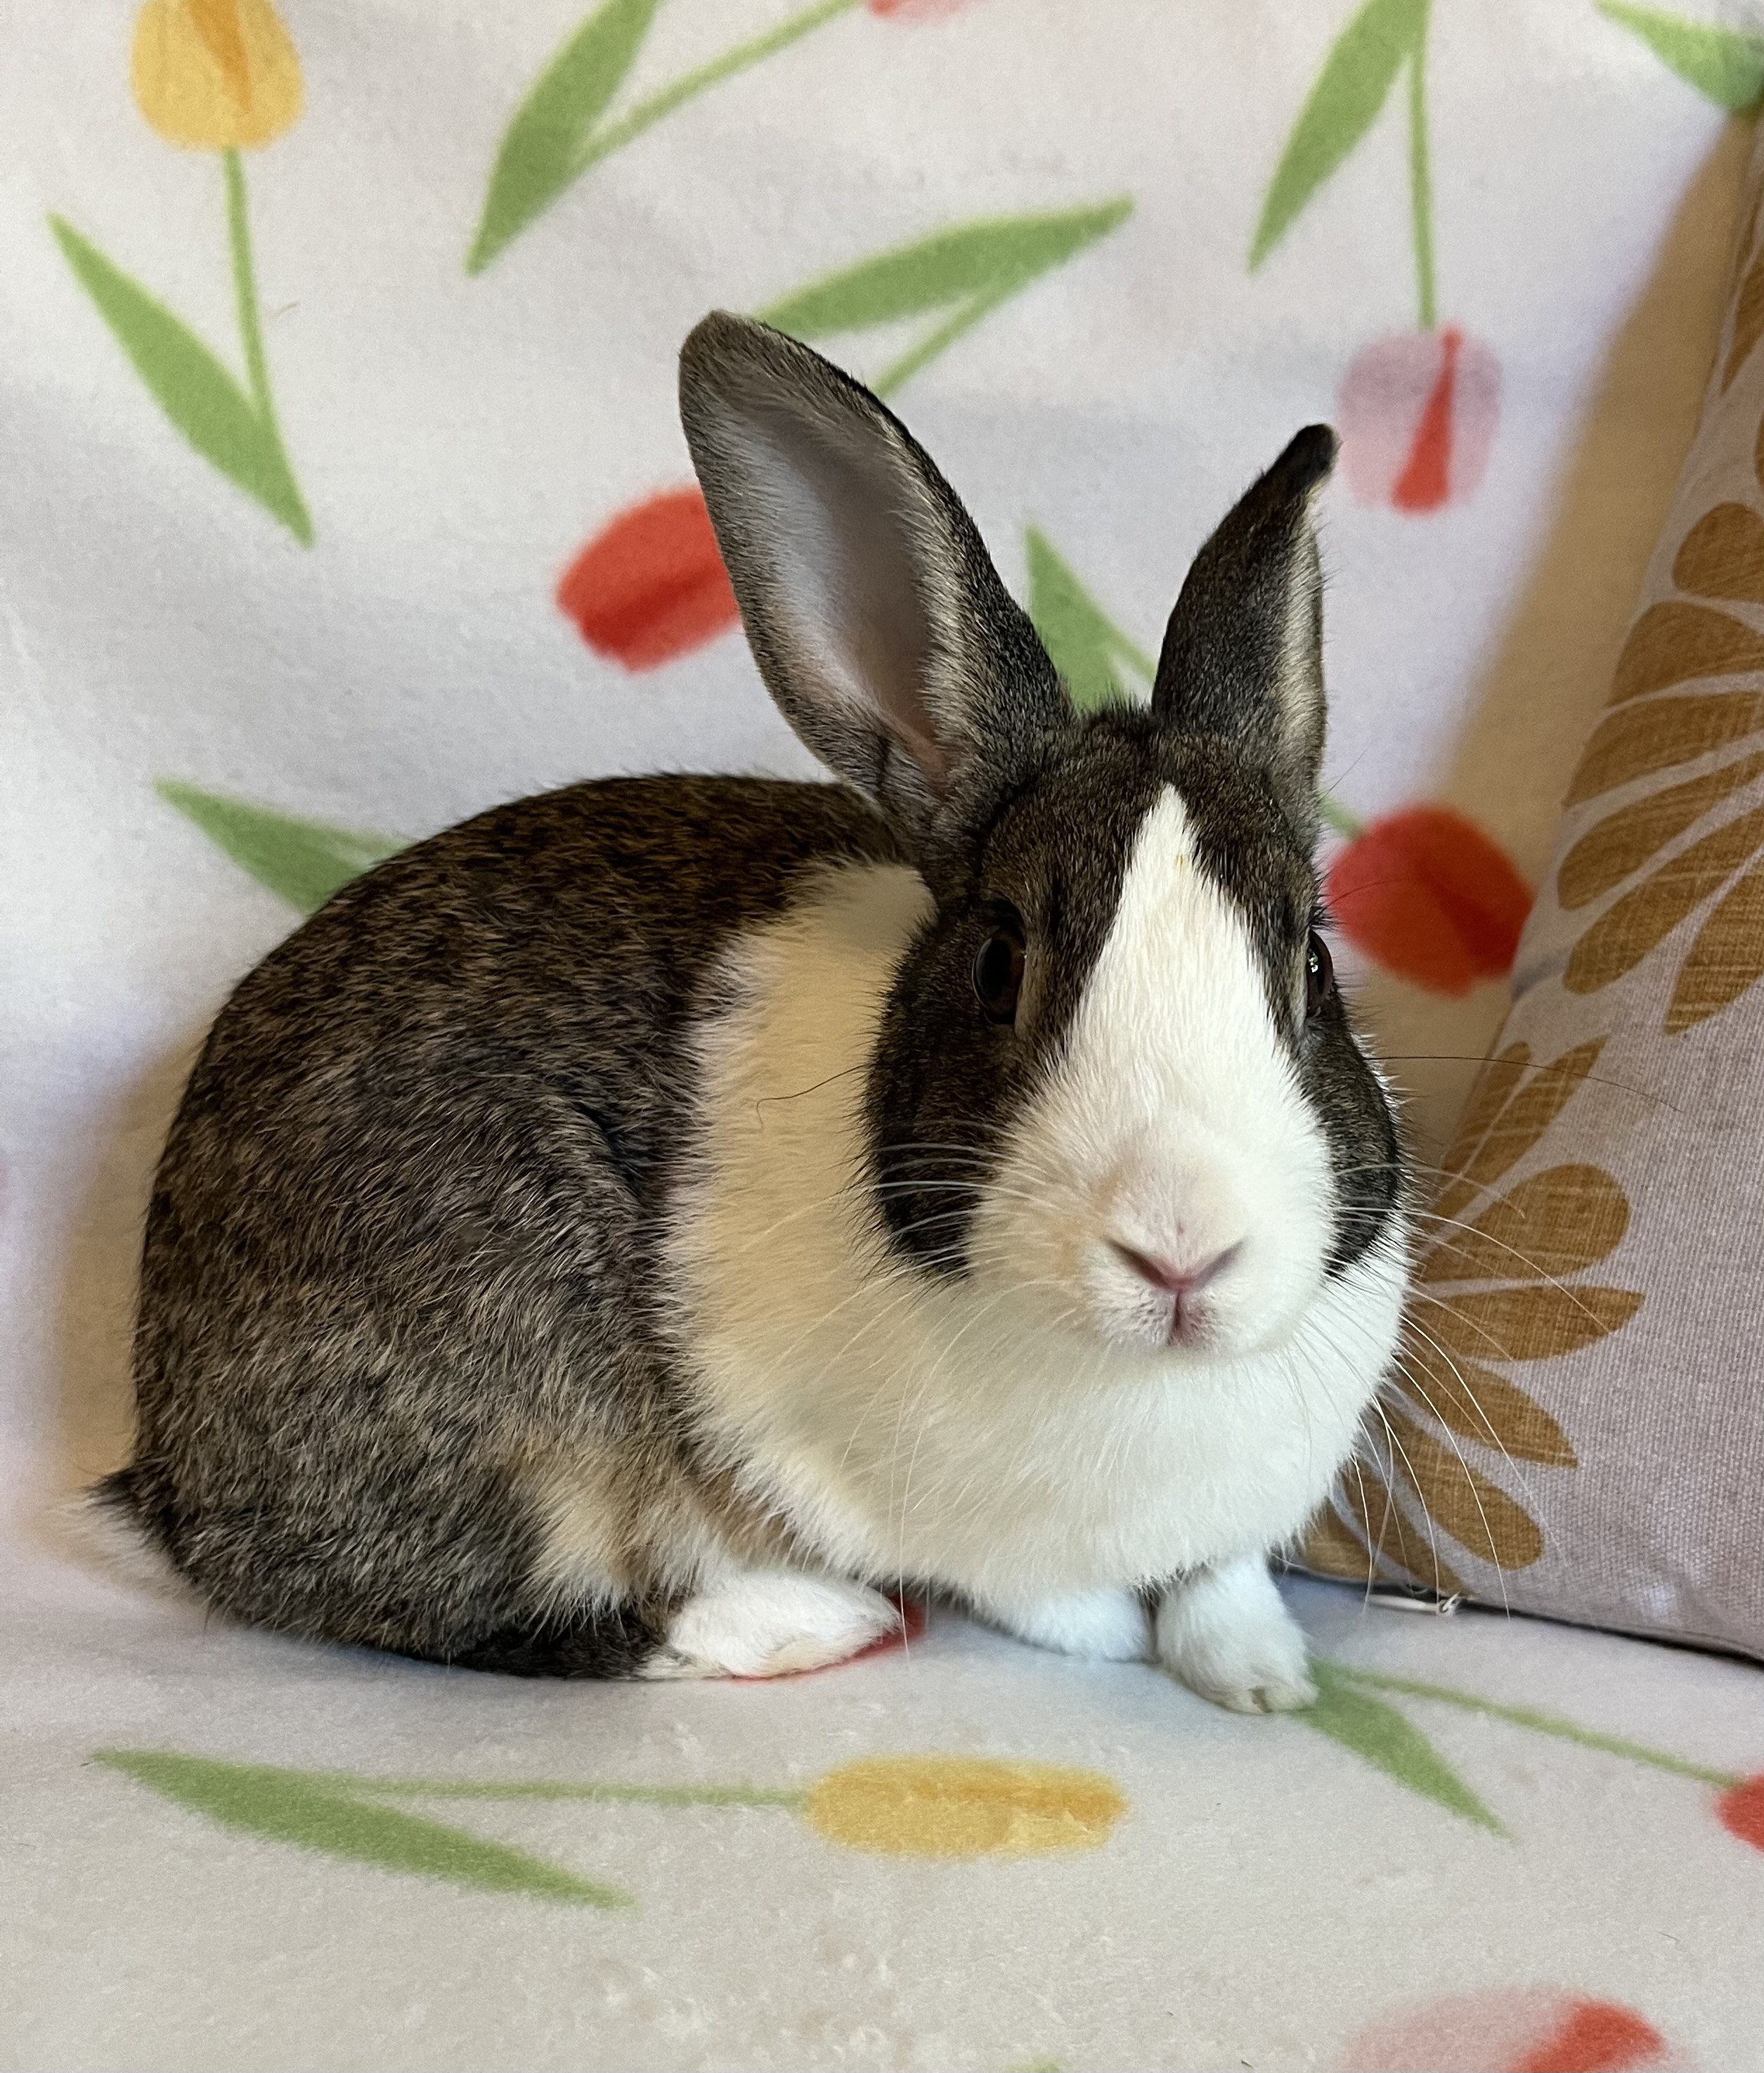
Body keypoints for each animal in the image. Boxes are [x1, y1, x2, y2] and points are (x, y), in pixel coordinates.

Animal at [100, 311, 1409, 1711]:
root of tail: (167, 1459)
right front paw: (1124, 1636)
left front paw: (1264, 1678)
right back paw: (809, 1618)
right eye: (999, 962)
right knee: (478, 1605)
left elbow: (1222, 1579)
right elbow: (1056, 1603)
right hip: (500, 1388)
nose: (1181, 1250)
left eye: (1311, 964)